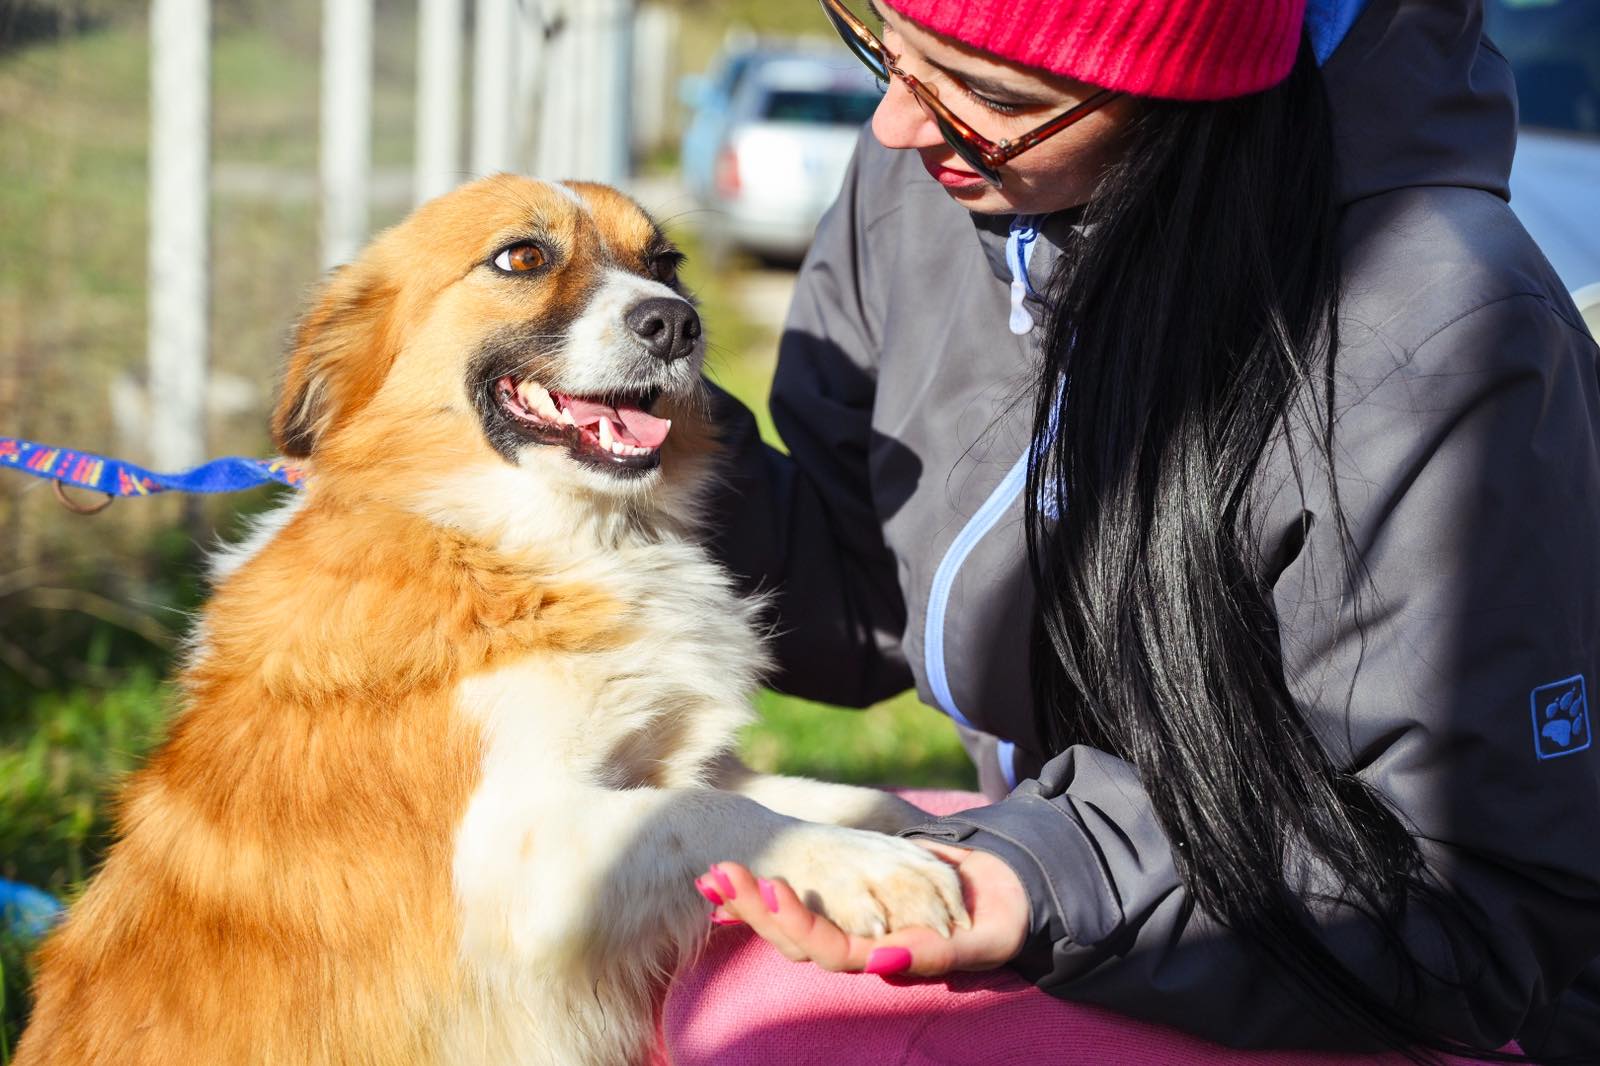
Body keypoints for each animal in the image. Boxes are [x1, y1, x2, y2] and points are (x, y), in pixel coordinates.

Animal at [15, 176, 960, 1062]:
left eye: (666, 262)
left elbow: (814, 794)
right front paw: (871, 870)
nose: (676, 324)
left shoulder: (653, 768)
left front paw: (916, 830)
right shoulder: (505, 858)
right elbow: (708, 816)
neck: (522, 543)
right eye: (523, 257)